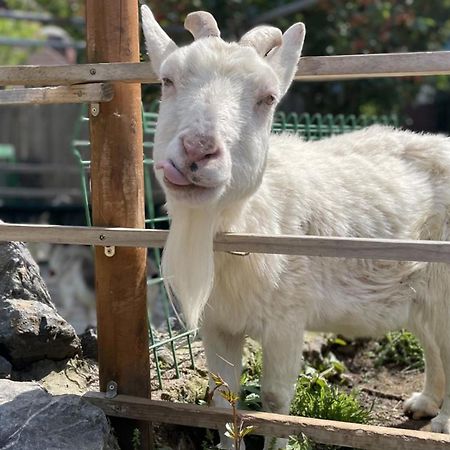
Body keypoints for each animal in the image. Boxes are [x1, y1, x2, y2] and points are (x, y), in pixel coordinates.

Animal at [143, 4, 450, 450]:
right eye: (167, 80)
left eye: (268, 97)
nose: (198, 150)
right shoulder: (218, 322)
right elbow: (222, 397)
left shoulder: (288, 319)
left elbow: (274, 401)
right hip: (423, 287)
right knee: (432, 340)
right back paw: (425, 404)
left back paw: (443, 421)